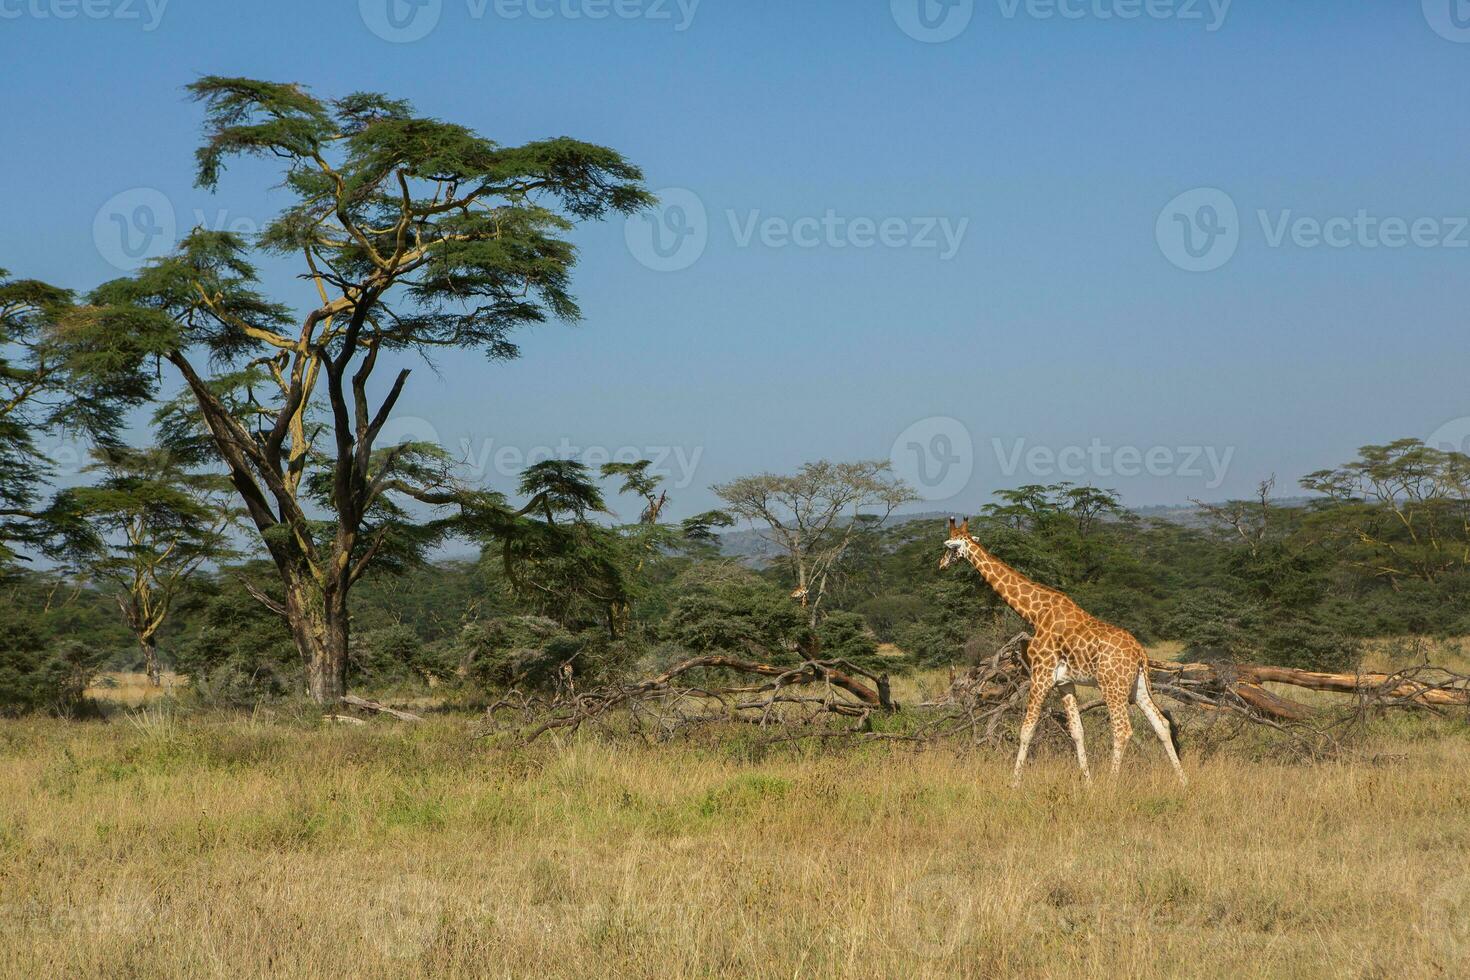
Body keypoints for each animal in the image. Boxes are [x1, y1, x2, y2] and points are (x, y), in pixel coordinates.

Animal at [940, 517, 1181, 787]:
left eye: (949, 547)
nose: (941, 565)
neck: (1035, 613)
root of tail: (1140, 652)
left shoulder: (1041, 674)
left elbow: (1026, 730)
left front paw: (1014, 783)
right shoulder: (1064, 682)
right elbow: (1077, 731)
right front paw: (1087, 783)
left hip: (1112, 685)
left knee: (1122, 730)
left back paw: (1112, 783)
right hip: (1136, 686)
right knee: (1161, 724)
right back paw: (1183, 782)